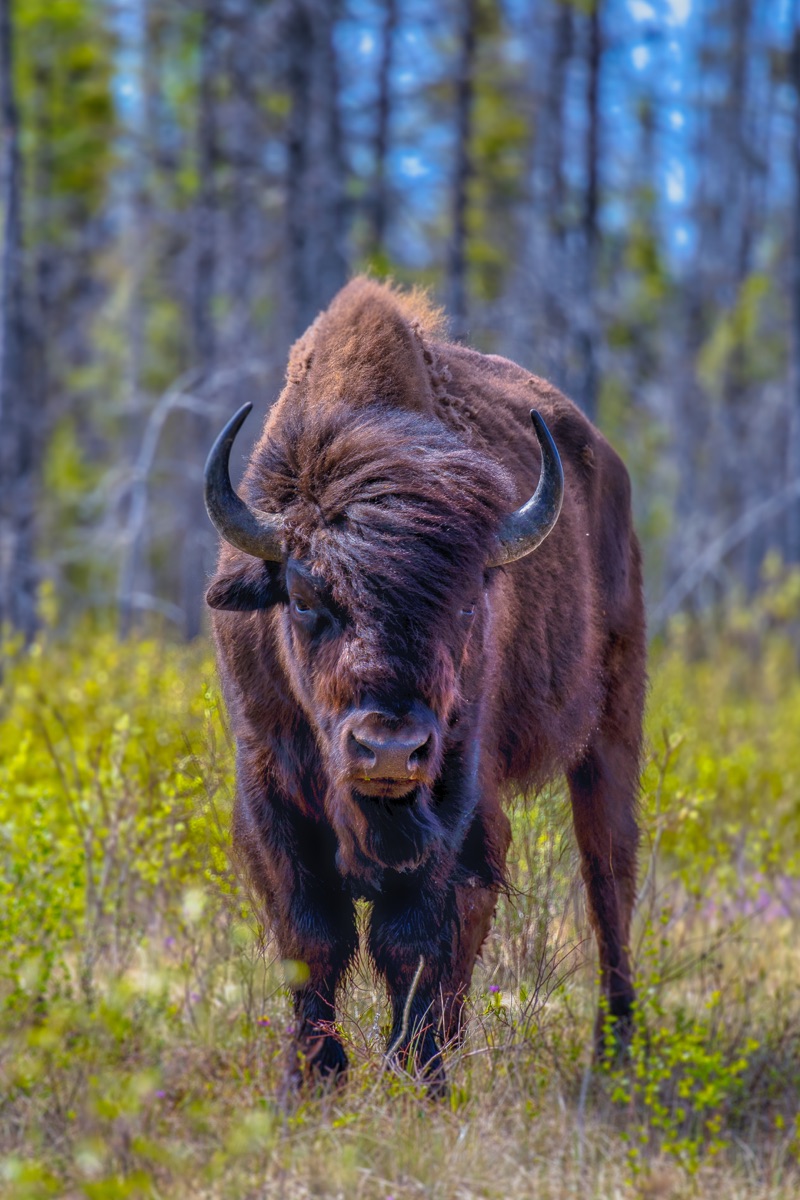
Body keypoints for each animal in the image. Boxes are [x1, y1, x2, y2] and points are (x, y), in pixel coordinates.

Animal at [204, 278, 646, 1091]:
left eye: (469, 600)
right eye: (305, 596)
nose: (388, 749)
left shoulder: (457, 800)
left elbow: (416, 943)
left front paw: (421, 1080)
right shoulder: (267, 787)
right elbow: (312, 937)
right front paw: (309, 1081)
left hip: (611, 733)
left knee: (609, 886)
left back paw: (619, 1057)